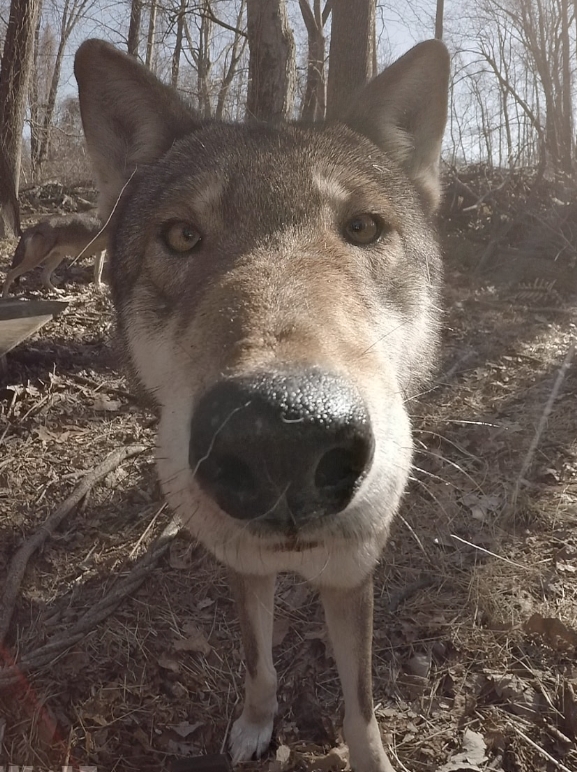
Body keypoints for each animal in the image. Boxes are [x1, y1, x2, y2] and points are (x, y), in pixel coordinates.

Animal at [74, 38, 449, 772]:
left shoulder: (352, 576)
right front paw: (254, 726)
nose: (282, 436)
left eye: (362, 227)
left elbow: (360, 705)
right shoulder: (242, 568)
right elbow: (257, 663)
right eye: (182, 236)